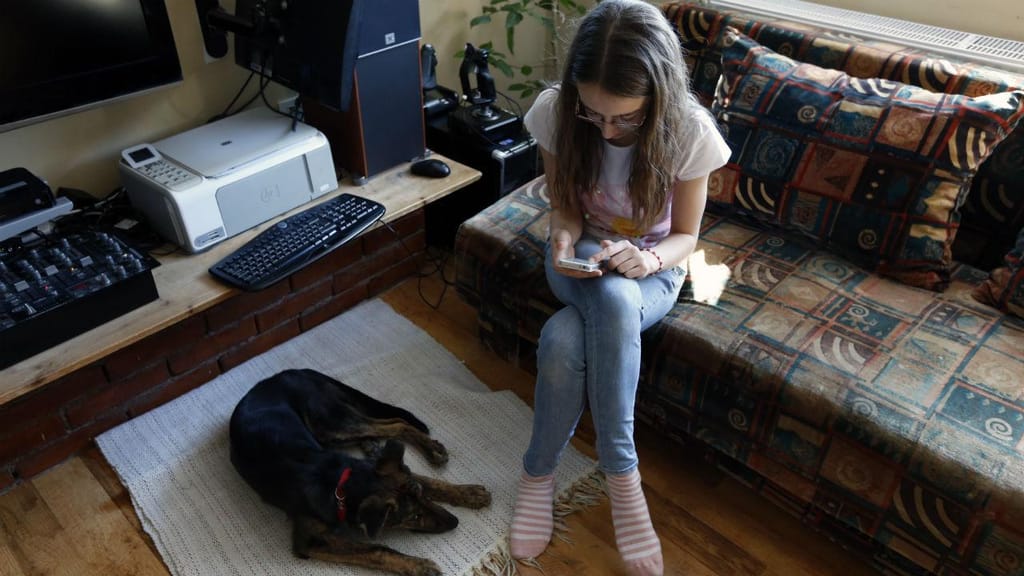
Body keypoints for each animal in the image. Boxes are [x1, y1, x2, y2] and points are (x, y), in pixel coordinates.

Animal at [229, 368, 492, 576]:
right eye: (413, 517)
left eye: (422, 497)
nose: (455, 521)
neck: (339, 484)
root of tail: (289, 372)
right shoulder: (311, 540)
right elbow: (376, 550)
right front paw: (419, 566)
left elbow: (431, 481)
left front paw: (470, 494)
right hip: (331, 427)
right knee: (389, 426)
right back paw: (375, 446)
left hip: (331, 424)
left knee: (396, 423)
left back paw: (427, 448)